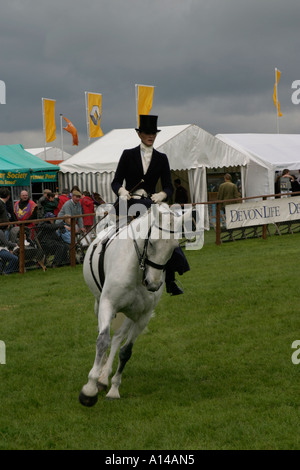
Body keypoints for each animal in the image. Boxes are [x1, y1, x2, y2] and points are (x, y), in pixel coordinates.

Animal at [78, 204, 184, 406]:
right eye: (152, 243)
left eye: (174, 248)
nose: (153, 284)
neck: (138, 272)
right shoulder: (107, 304)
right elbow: (102, 341)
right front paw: (89, 390)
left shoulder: (143, 316)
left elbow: (126, 351)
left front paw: (113, 389)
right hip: (99, 303)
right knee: (104, 334)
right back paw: (100, 374)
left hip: (130, 314)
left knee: (118, 337)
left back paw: (104, 378)